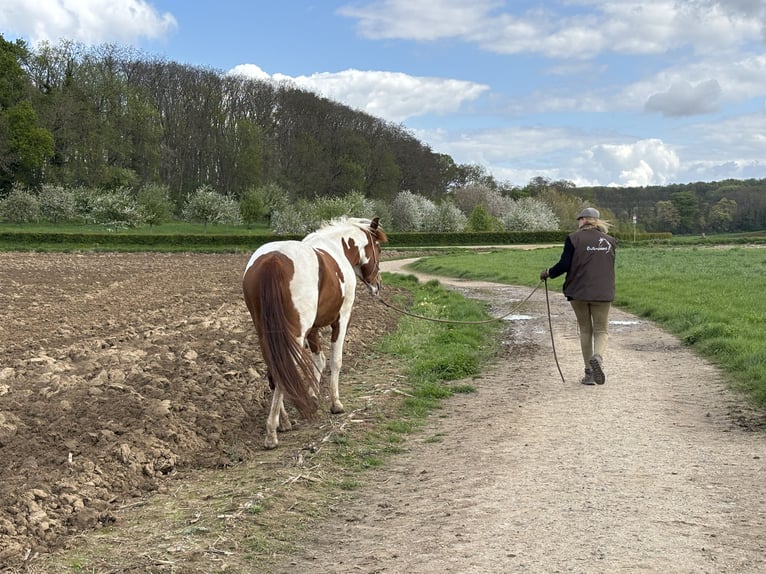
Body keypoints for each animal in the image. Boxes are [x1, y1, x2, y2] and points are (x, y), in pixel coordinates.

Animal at [242, 216, 388, 449]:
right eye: (379, 248)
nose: (377, 285)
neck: (338, 247)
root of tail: (273, 261)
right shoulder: (342, 319)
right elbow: (334, 361)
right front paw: (335, 403)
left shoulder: (314, 328)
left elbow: (317, 361)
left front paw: (312, 397)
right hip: (294, 333)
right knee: (285, 369)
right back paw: (271, 432)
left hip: (265, 333)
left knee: (275, 369)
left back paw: (283, 422)